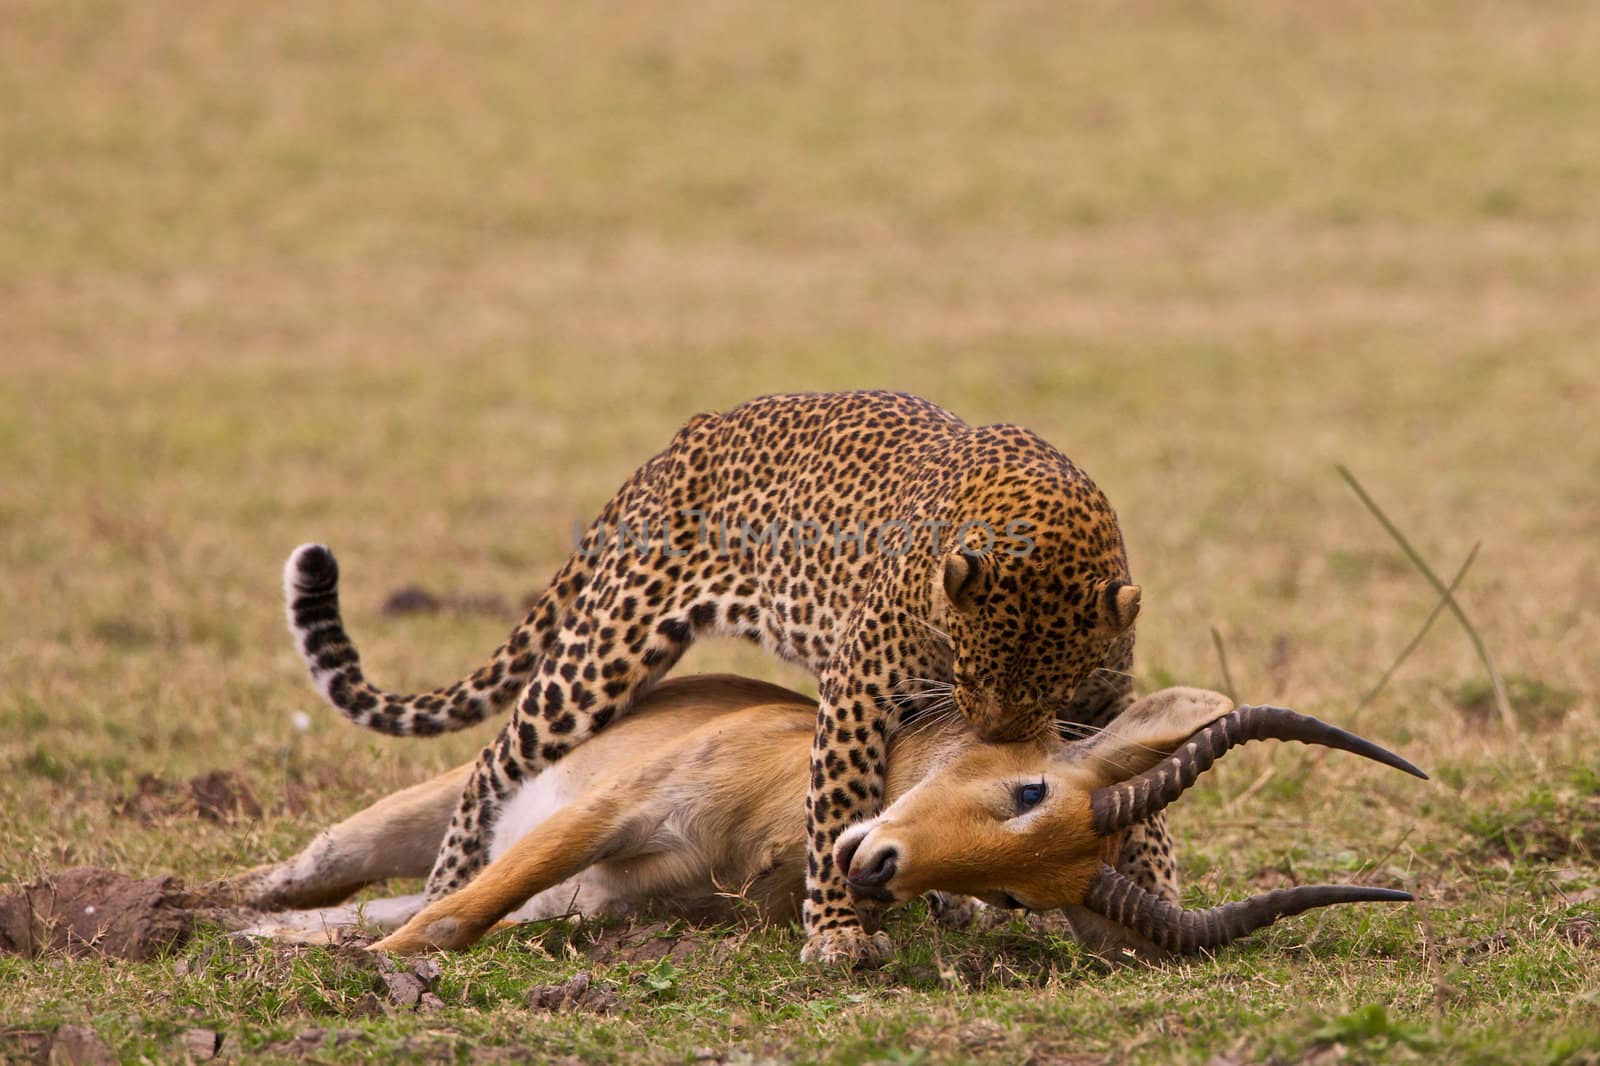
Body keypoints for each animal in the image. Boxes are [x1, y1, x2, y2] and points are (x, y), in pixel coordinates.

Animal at [284, 388, 1164, 960]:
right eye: (972, 676)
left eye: (1050, 691)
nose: (991, 736)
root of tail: (679, 442)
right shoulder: (859, 684)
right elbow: (836, 801)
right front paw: (836, 932)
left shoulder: (1103, 698)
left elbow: (1138, 796)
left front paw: (1157, 893)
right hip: (604, 653)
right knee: (495, 764)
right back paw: (450, 876)